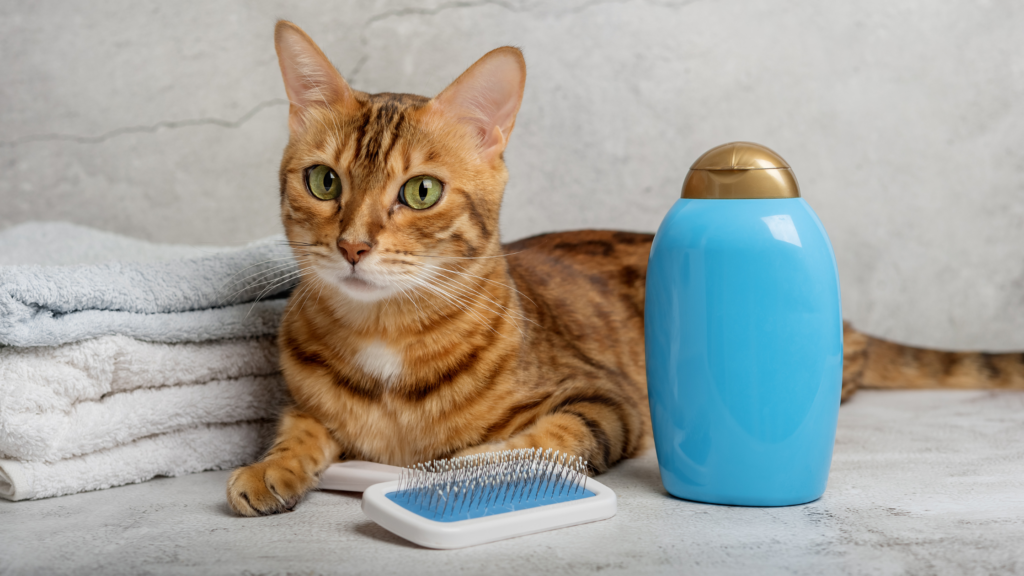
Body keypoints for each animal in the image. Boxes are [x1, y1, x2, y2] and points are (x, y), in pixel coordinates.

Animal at [226, 19, 1024, 516]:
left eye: (420, 191)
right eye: (323, 181)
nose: (353, 246)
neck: (385, 339)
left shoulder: (604, 401)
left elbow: (530, 445)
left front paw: (466, 468)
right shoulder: (302, 402)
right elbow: (298, 430)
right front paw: (272, 468)